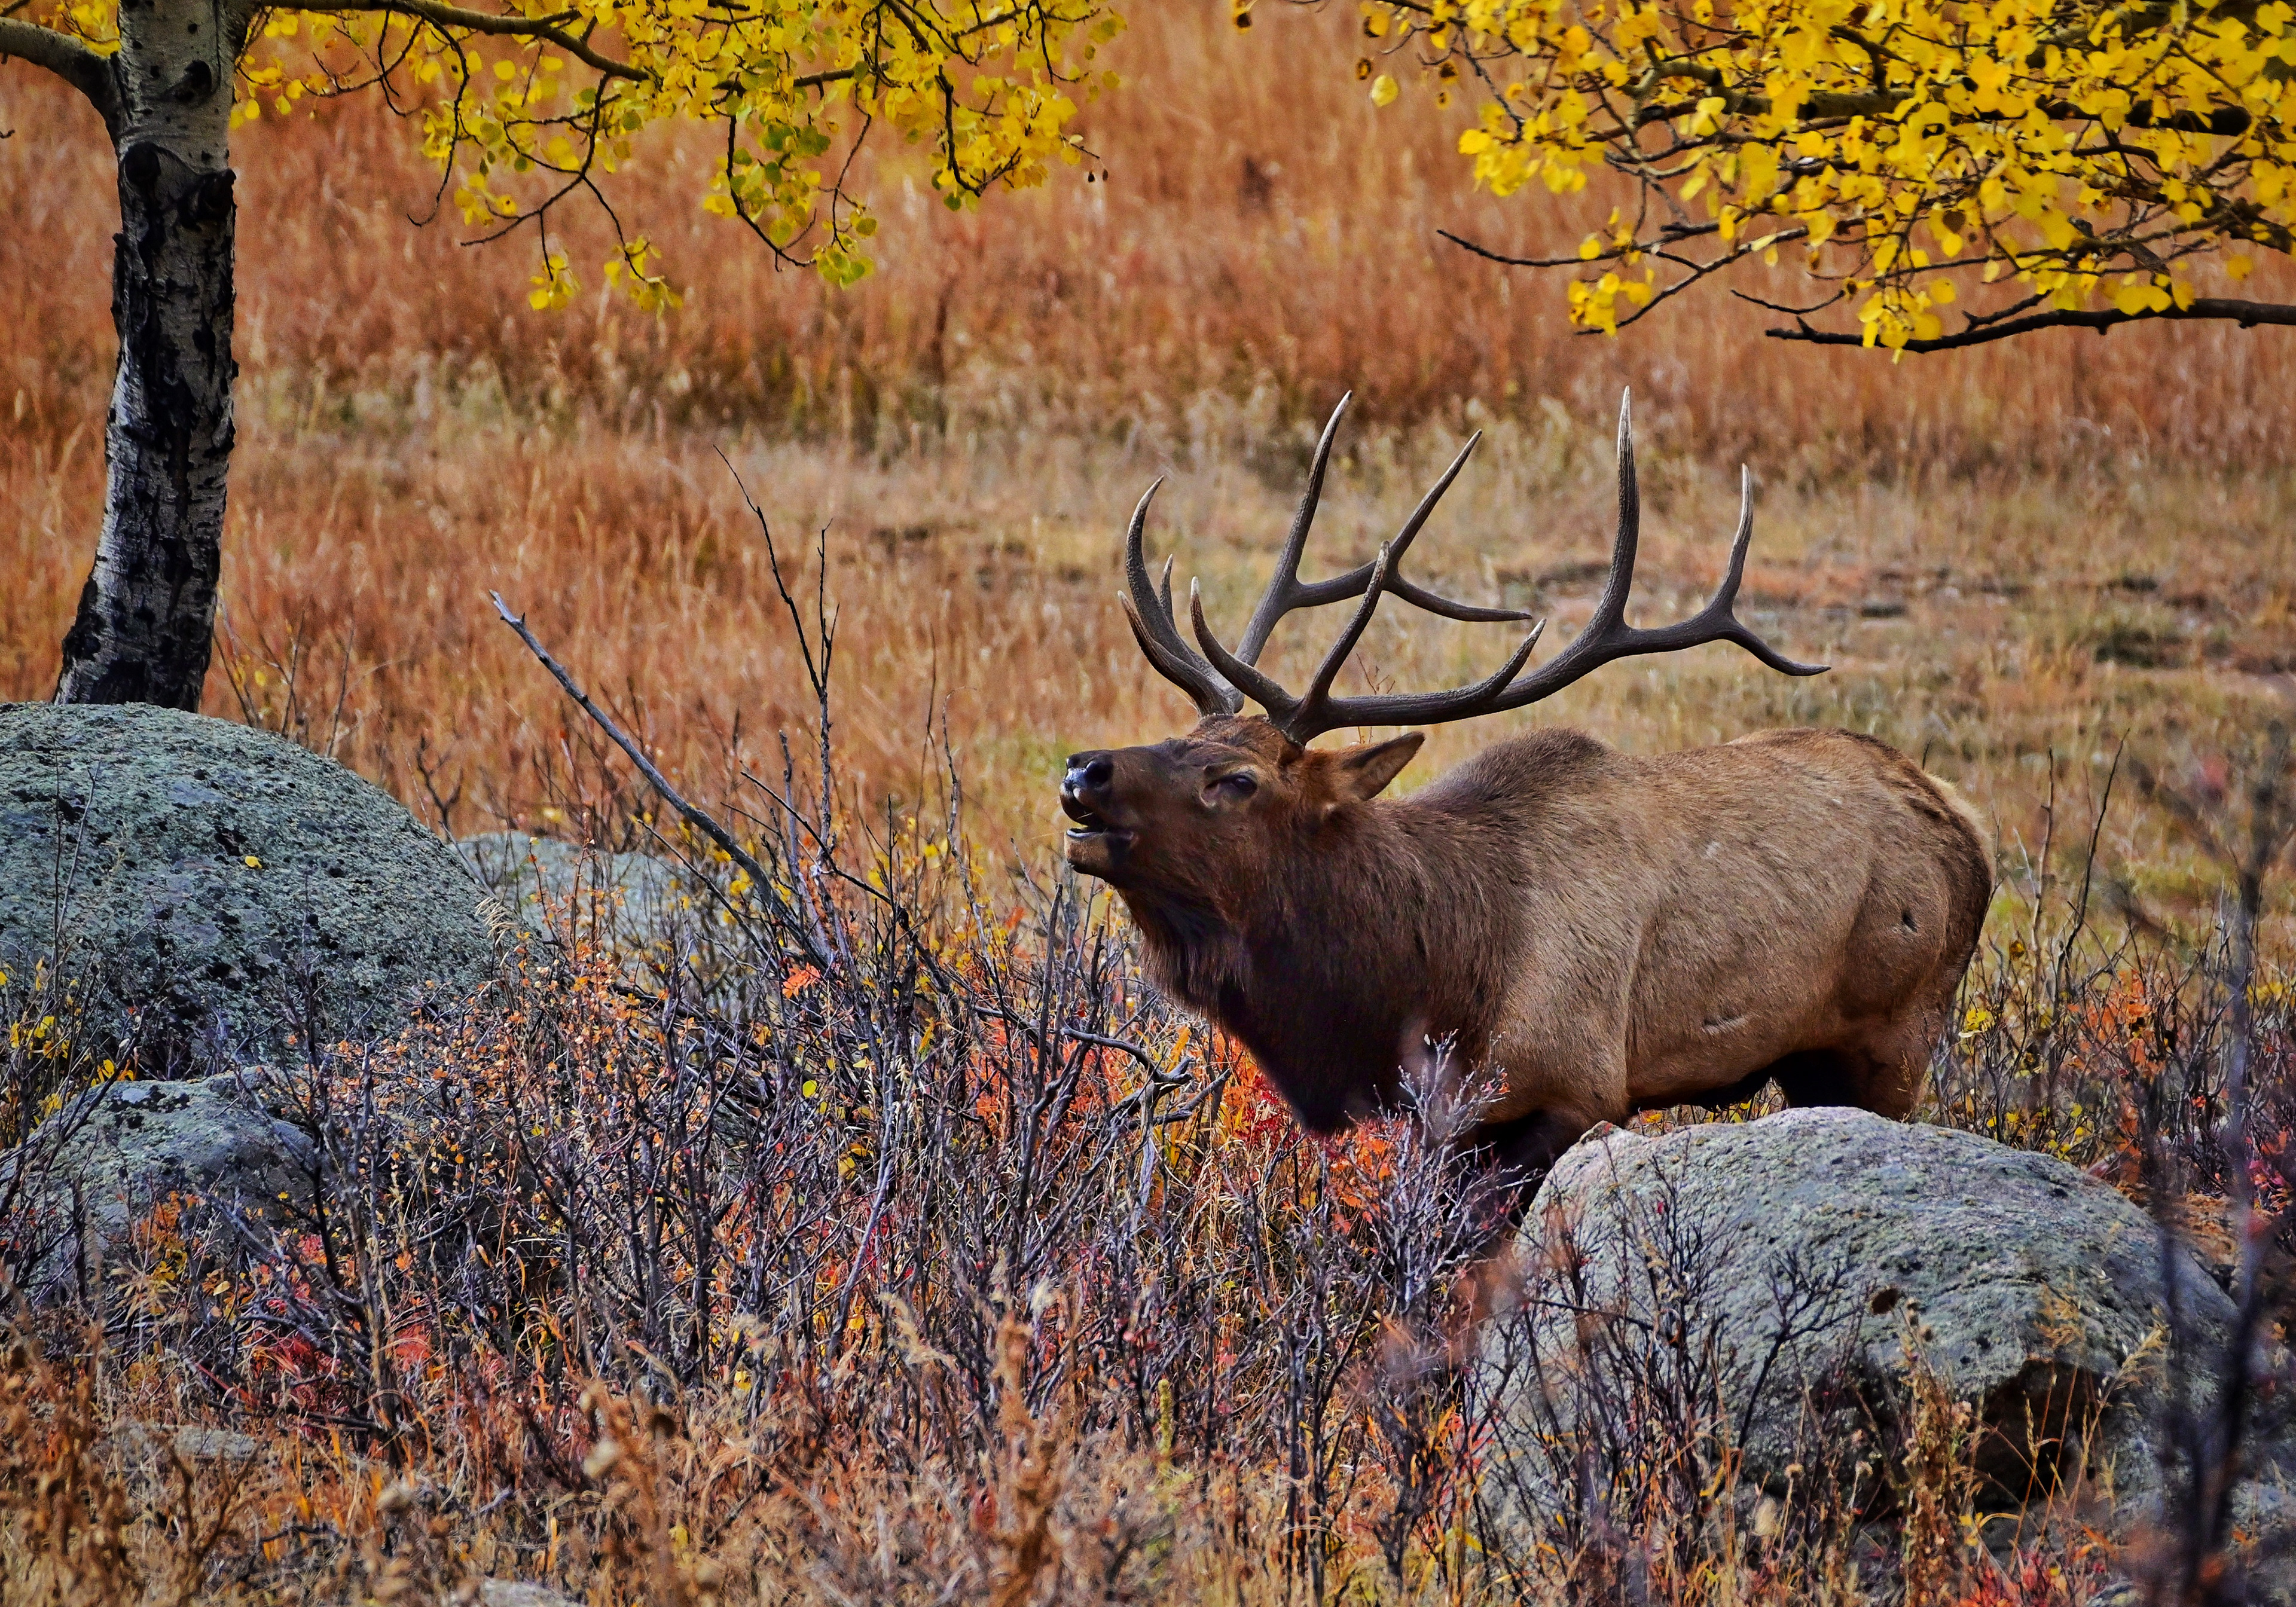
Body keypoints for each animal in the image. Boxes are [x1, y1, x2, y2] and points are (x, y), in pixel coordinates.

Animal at [1060, 393, 1994, 1190]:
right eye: (1182, 738)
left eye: (1238, 780)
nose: (1084, 770)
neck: (1432, 978)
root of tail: (1970, 825)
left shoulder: (1567, 1088)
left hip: (1897, 1036)